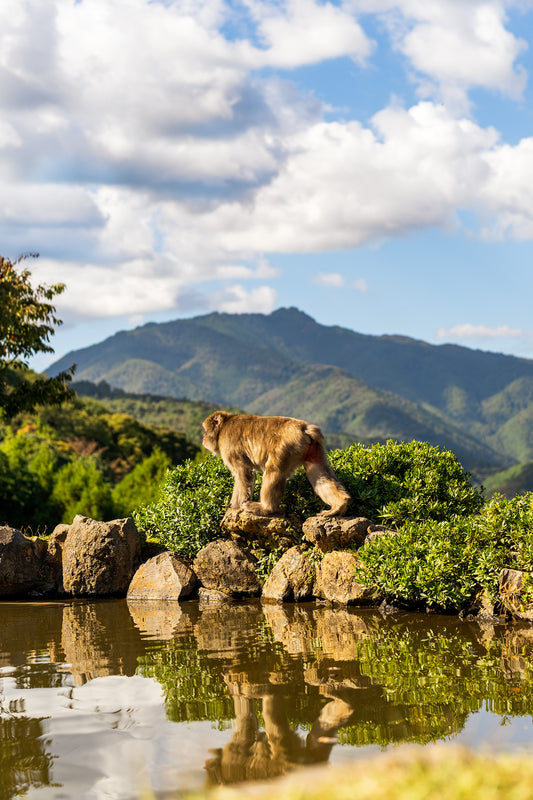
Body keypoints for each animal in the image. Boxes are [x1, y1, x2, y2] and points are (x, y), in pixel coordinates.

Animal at [201, 411, 350, 517]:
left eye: (205, 430)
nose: (203, 437)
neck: (223, 427)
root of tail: (305, 428)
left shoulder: (229, 447)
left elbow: (244, 472)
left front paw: (235, 507)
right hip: (313, 448)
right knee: (318, 471)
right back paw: (339, 505)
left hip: (287, 444)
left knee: (274, 470)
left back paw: (266, 508)